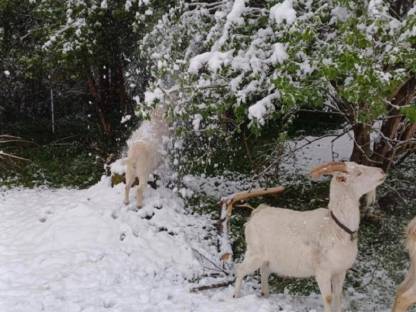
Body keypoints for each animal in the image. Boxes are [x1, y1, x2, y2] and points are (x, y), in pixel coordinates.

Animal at [234, 162, 386, 310]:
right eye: (358, 173)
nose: (382, 171)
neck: (336, 228)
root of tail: (256, 213)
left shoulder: (340, 271)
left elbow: (338, 296)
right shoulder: (323, 272)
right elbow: (328, 298)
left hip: (267, 258)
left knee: (264, 270)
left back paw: (265, 295)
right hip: (254, 252)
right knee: (240, 269)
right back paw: (235, 296)